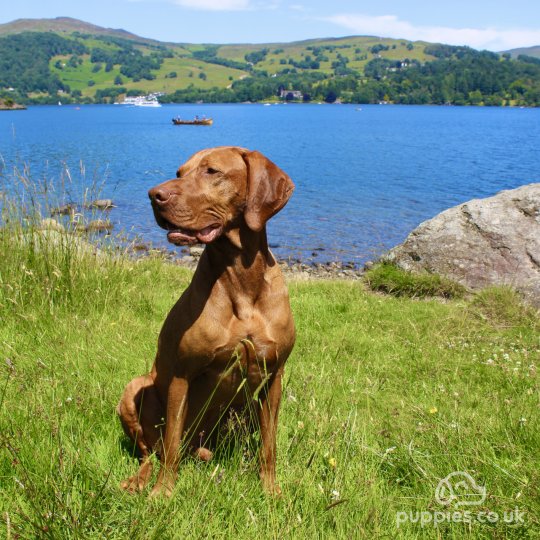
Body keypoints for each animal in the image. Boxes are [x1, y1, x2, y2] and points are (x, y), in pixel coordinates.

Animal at [117, 146, 296, 496]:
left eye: (211, 171)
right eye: (179, 172)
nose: (154, 195)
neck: (241, 279)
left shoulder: (274, 376)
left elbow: (269, 445)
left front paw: (270, 490)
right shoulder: (182, 375)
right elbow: (171, 444)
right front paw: (163, 493)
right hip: (133, 390)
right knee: (151, 451)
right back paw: (139, 480)